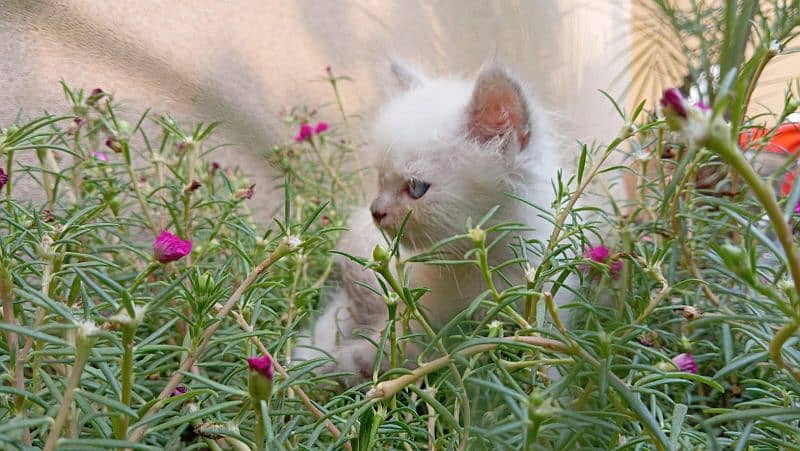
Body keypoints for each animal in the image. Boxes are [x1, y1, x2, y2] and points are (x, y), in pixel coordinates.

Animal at [292, 61, 564, 384]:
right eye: (380, 180)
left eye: (416, 188)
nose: (376, 211)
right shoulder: (417, 309)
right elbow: (396, 342)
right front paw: (350, 364)